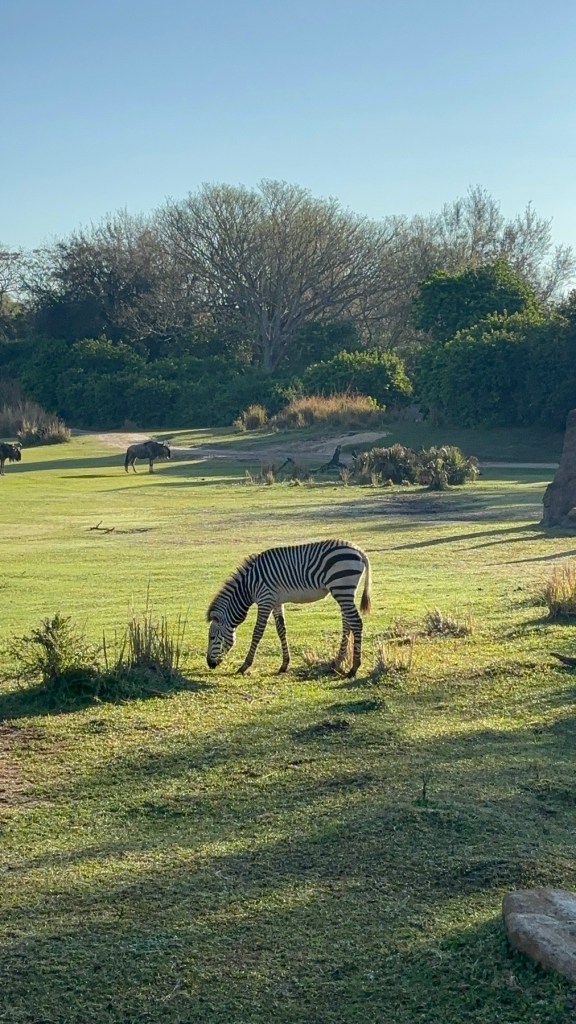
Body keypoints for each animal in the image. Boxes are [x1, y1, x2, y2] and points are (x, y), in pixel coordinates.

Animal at [206, 539, 372, 677]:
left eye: (212, 637)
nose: (209, 664)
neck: (248, 586)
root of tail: (359, 551)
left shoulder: (265, 600)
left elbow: (257, 632)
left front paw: (245, 666)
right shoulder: (275, 602)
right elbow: (281, 630)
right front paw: (284, 664)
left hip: (341, 588)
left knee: (356, 622)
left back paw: (354, 668)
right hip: (344, 592)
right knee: (347, 623)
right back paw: (338, 662)